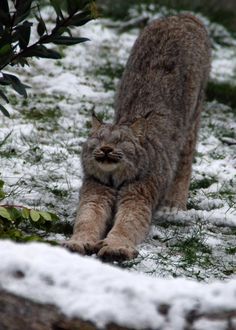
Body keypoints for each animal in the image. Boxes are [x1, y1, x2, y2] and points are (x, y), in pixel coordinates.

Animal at [63, 13, 211, 260]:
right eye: (99, 140)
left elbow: (127, 225)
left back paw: (174, 205)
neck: (114, 179)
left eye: (120, 141)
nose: (106, 150)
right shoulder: (95, 193)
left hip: (193, 116)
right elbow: (86, 220)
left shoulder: (138, 197)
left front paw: (116, 246)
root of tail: (181, 15)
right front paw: (79, 241)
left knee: (185, 162)